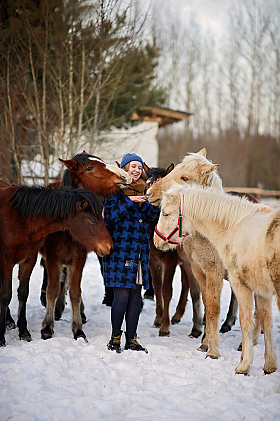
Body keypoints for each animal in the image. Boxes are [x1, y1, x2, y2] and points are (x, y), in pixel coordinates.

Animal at [0, 185, 111, 346]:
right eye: (93, 221)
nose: (109, 246)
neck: (20, 219)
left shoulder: (33, 260)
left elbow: (24, 293)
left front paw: (78, 331)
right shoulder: (10, 261)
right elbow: (7, 295)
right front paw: (46, 329)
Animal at [143, 162, 202, 336]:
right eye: (147, 183)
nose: (149, 196)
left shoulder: (170, 261)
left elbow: (166, 290)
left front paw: (164, 326)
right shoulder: (153, 261)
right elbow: (157, 287)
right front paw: (158, 318)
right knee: (186, 282)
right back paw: (177, 315)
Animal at [155, 182, 278, 372]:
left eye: (165, 213)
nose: (156, 241)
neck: (233, 226)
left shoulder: (222, 275)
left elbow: (220, 311)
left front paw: (215, 352)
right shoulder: (199, 271)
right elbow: (264, 318)